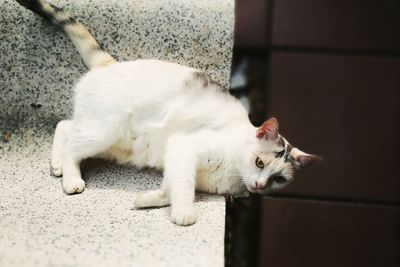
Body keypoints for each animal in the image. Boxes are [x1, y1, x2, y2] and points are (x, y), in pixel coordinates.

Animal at [18, 0, 322, 226]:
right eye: (259, 162)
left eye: (279, 179)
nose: (259, 185)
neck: (233, 174)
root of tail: (110, 64)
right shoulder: (184, 148)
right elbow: (184, 186)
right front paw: (185, 213)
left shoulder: (177, 161)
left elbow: (171, 187)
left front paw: (146, 200)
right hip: (105, 130)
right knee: (72, 144)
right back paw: (70, 178)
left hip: (108, 138)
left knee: (65, 126)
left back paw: (57, 164)